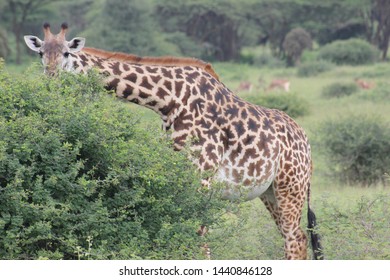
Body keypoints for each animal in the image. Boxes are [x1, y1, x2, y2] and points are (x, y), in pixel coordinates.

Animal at [25, 23, 322, 260]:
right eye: (41, 54)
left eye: (66, 53)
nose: (51, 81)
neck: (168, 102)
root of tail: (307, 143)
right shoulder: (179, 172)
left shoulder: (201, 176)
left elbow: (199, 236)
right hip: (270, 192)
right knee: (293, 237)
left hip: (291, 187)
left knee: (296, 238)